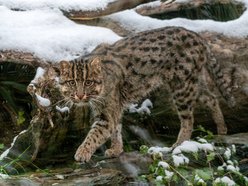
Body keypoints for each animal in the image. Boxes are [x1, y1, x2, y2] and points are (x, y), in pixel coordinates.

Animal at [53, 26, 234, 163]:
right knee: (211, 97)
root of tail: (197, 35)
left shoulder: (107, 112)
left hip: (182, 87)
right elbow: (116, 129)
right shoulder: (113, 108)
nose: (80, 96)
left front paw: (82, 152)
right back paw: (222, 129)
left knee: (188, 119)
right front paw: (116, 150)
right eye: (71, 83)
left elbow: (96, 134)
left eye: (88, 82)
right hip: (192, 83)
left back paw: (179, 144)